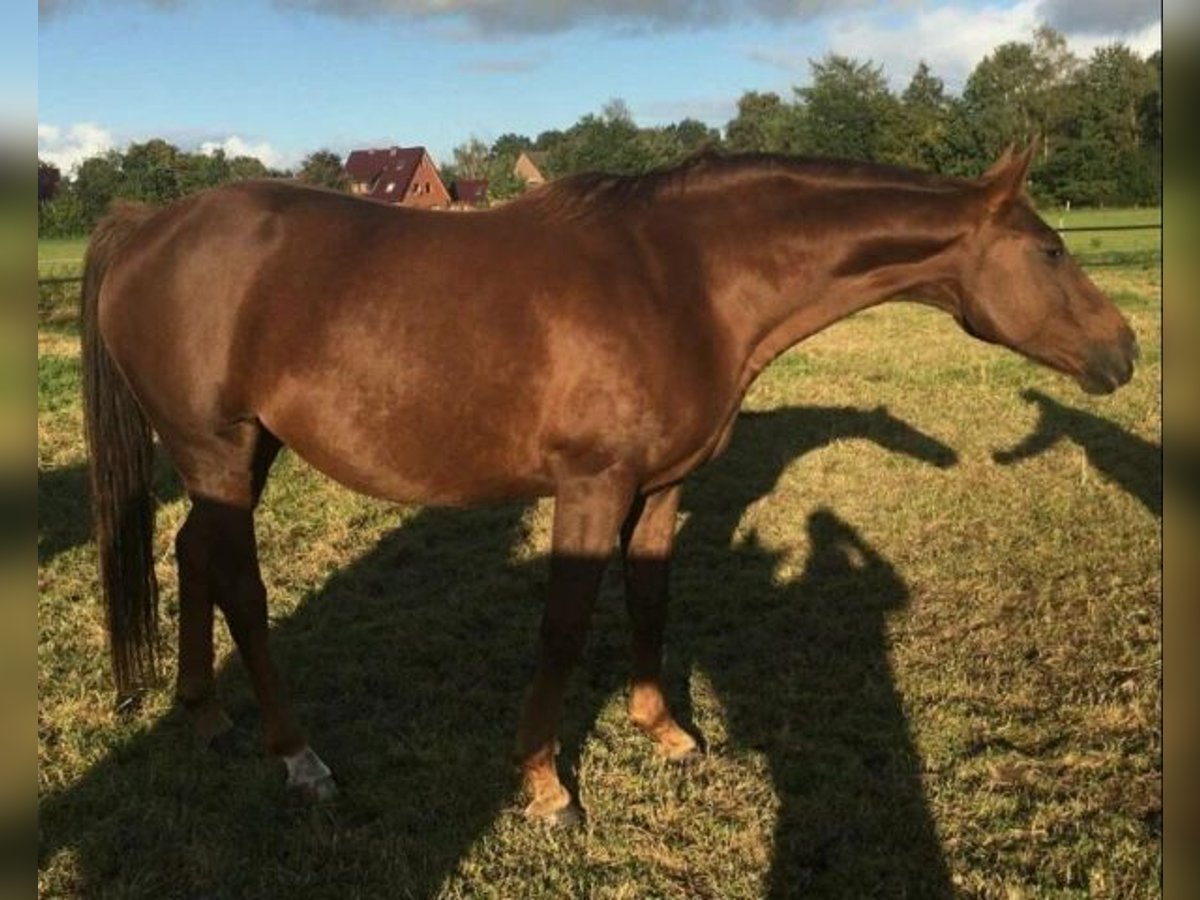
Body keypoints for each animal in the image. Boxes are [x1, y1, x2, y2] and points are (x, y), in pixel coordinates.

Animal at [82, 146, 1132, 825]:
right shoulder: (589, 488)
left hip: (243, 454)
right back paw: (297, 757)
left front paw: (664, 730)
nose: (1122, 351)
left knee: (192, 556)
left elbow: (652, 599)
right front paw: (545, 784)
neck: (684, 279)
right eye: (1050, 250)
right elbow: (564, 623)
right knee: (243, 588)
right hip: (217, 450)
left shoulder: (660, 489)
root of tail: (150, 227)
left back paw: (204, 713)